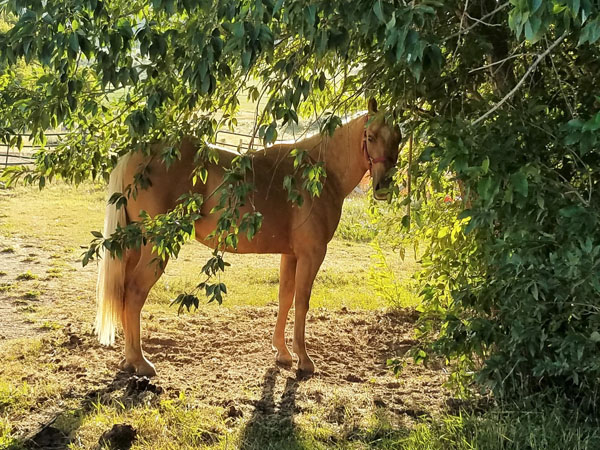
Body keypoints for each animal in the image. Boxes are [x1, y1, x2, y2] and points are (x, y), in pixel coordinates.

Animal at [96, 98, 400, 376]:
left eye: (398, 138)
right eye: (370, 137)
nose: (384, 186)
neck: (317, 172)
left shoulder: (291, 254)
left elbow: (285, 297)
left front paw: (282, 353)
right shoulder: (312, 254)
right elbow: (302, 302)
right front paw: (304, 360)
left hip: (135, 247)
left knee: (123, 293)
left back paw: (129, 359)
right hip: (157, 247)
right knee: (135, 293)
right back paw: (140, 362)